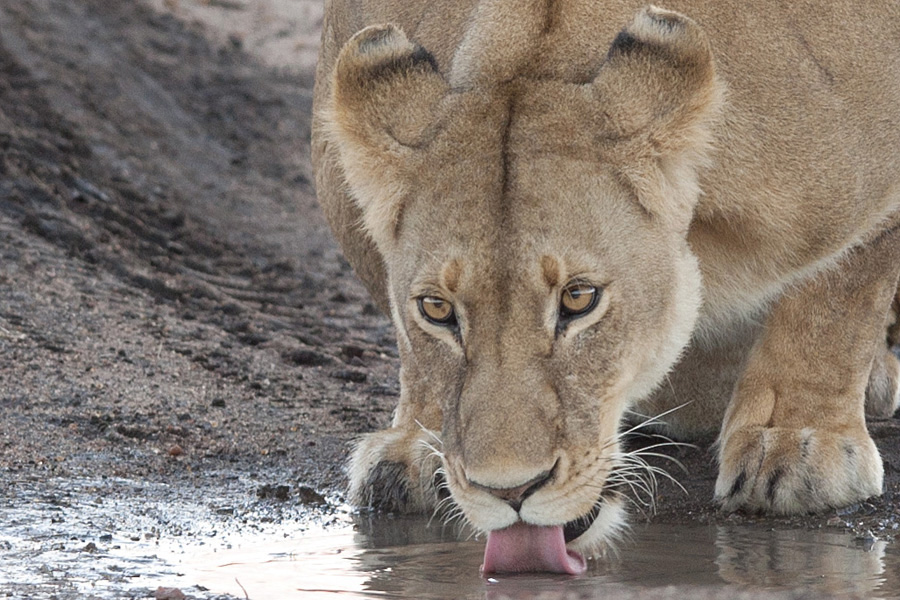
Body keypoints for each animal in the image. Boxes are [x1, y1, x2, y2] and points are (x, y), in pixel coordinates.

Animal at [311, 0, 900, 574]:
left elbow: (838, 298)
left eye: (579, 298)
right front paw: (416, 445)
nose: (510, 490)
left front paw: (796, 445)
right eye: (436, 308)